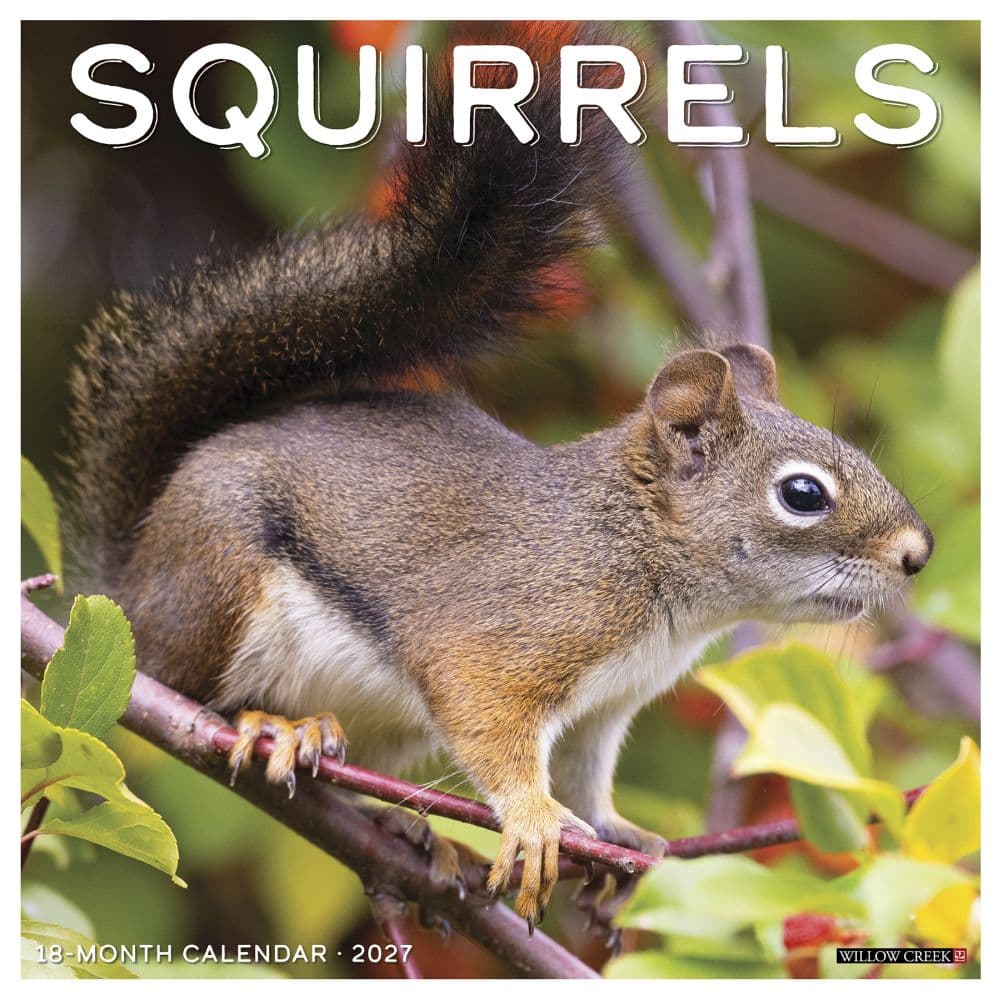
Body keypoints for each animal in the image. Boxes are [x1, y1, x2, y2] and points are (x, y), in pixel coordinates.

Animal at [66, 28, 933, 928]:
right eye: (803, 494)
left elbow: (586, 776)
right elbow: (493, 726)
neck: (646, 560)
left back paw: (401, 827)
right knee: (188, 685)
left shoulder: (602, 709)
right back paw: (278, 726)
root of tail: (128, 575)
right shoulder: (507, 639)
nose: (917, 554)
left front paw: (622, 838)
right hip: (219, 580)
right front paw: (534, 819)